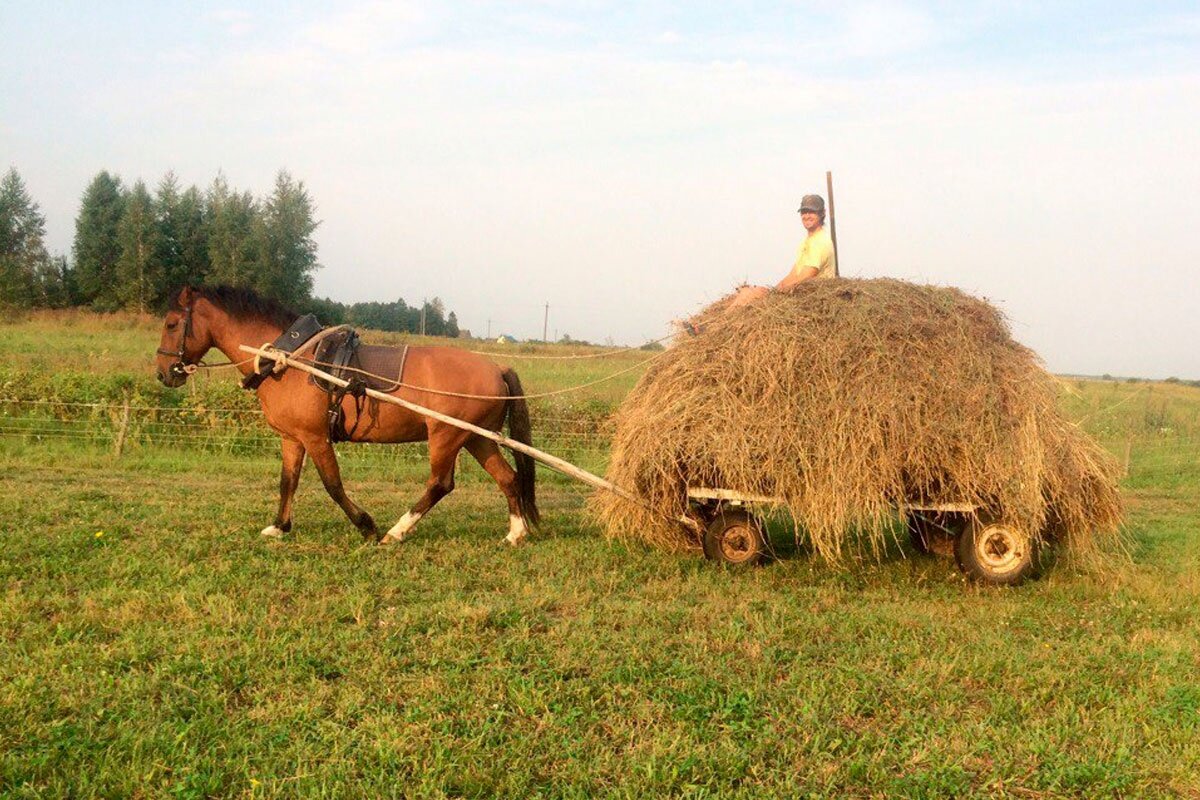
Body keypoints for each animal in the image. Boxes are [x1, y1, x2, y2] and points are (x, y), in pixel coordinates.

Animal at [154, 284, 540, 546]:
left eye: (172, 324)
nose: (163, 373)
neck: (290, 359)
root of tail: (497, 367)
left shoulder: (315, 437)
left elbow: (333, 485)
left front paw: (365, 524)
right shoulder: (292, 438)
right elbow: (287, 482)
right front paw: (279, 526)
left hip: (447, 436)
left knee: (441, 484)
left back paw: (395, 531)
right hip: (476, 437)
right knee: (508, 478)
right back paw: (515, 533)